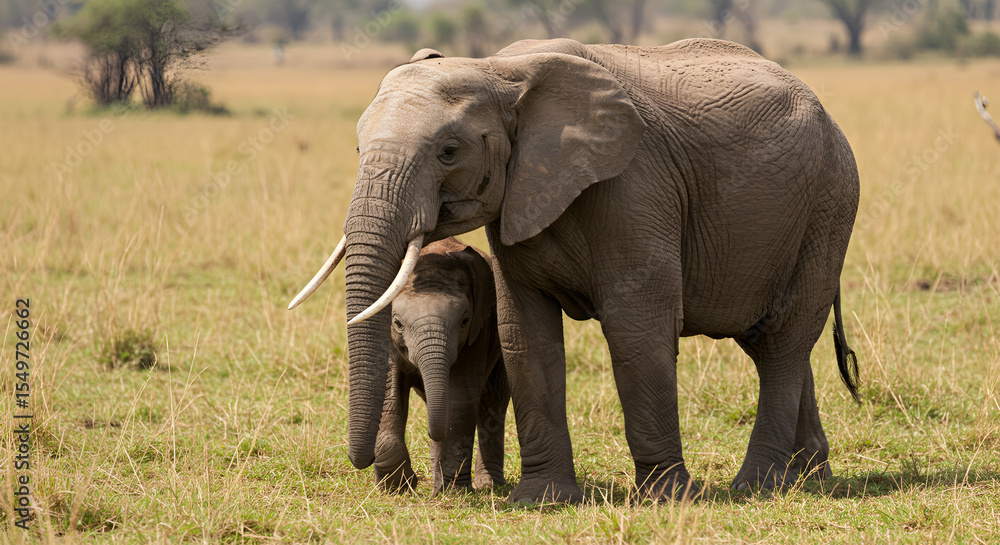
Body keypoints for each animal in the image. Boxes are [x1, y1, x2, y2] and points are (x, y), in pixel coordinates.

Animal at [372, 237, 508, 494]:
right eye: (397, 323)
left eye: (464, 320)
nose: (428, 431)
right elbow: (388, 391)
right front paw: (398, 487)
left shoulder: (479, 331)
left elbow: (461, 397)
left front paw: (454, 493)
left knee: (493, 401)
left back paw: (488, 485)